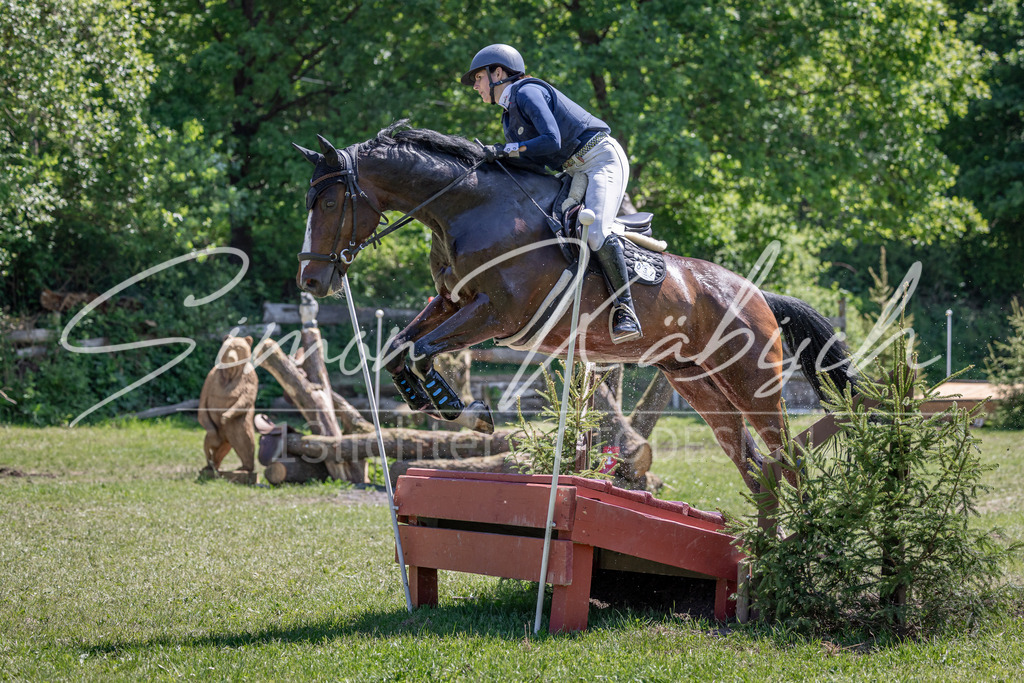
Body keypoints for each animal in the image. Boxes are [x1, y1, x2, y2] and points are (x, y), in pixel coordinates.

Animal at [292, 122, 856, 493]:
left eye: (329, 202)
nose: (312, 280)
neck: (469, 208)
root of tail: (758, 294)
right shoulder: (454, 302)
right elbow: (399, 348)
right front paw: (445, 405)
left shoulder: (497, 314)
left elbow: (421, 350)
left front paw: (464, 409)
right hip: (695, 382)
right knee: (754, 466)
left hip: (750, 380)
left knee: (786, 457)